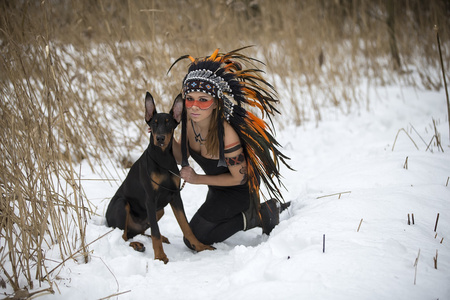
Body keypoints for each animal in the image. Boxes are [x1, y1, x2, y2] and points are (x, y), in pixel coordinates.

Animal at [104, 91, 214, 262]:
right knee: (123, 236)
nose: (160, 138)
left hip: (159, 210)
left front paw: (200, 246)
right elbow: (155, 231)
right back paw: (137, 244)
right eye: (154, 123)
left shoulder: (175, 196)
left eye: (168, 124)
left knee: (139, 232)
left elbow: (186, 226)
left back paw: (158, 238)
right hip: (122, 204)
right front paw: (160, 257)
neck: (162, 159)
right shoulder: (150, 198)